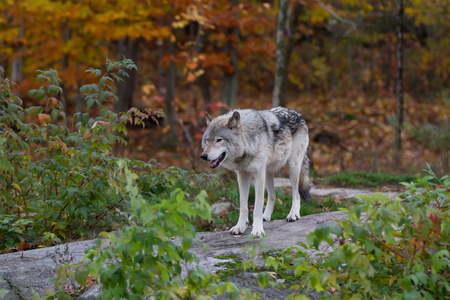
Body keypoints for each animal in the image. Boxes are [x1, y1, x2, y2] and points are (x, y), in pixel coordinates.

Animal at [202, 108, 312, 237]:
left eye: (219, 140)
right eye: (207, 140)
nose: (203, 156)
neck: (248, 142)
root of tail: (297, 112)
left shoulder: (259, 175)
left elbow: (257, 207)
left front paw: (258, 230)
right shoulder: (242, 175)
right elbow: (243, 206)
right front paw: (240, 227)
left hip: (293, 168)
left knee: (296, 194)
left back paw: (293, 214)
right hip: (268, 173)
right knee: (273, 196)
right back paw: (266, 217)